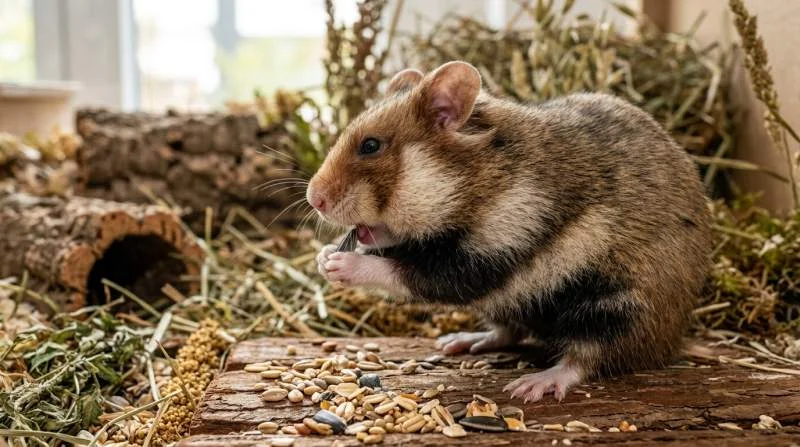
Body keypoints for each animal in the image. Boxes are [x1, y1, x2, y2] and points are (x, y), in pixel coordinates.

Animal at [306, 61, 712, 402]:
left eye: (371, 146)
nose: (314, 199)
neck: (475, 180)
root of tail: (673, 342)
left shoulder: (490, 252)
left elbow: (406, 271)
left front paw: (339, 264)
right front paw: (325, 254)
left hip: (612, 311)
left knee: (587, 358)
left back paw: (534, 385)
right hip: (509, 308)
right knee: (509, 331)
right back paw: (459, 341)